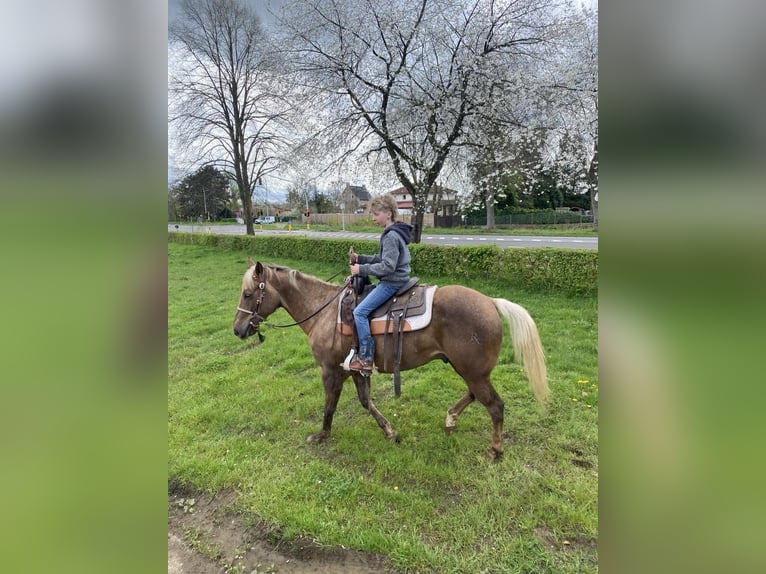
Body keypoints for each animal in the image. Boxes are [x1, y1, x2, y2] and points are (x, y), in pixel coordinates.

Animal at [231, 258, 548, 462]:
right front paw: (389, 431)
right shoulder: (356, 370)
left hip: (473, 372)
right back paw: (450, 419)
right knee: (475, 395)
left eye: (247, 293)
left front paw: (321, 435)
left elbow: (329, 405)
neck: (324, 311)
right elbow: (365, 402)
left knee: (495, 406)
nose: (237, 329)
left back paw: (495, 450)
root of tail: (491, 302)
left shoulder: (331, 371)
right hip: (471, 370)